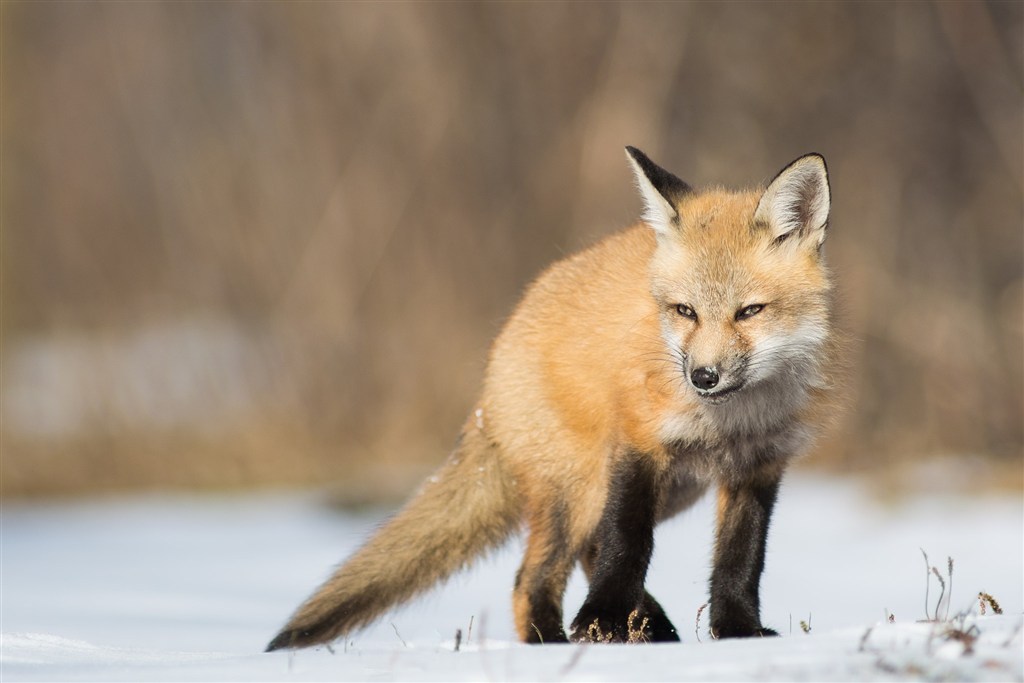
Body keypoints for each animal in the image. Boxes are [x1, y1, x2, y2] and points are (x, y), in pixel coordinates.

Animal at [266, 147, 839, 651]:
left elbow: (740, 560)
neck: (732, 419)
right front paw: (602, 622)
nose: (702, 377)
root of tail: (489, 382)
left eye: (750, 311)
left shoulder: (759, 465)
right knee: (536, 573)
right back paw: (556, 642)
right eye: (685, 311)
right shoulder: (638, 447)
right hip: (581, 486)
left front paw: (738, 633)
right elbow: (627, 543)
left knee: (586, 549)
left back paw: (648, 628)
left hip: (670, 491)